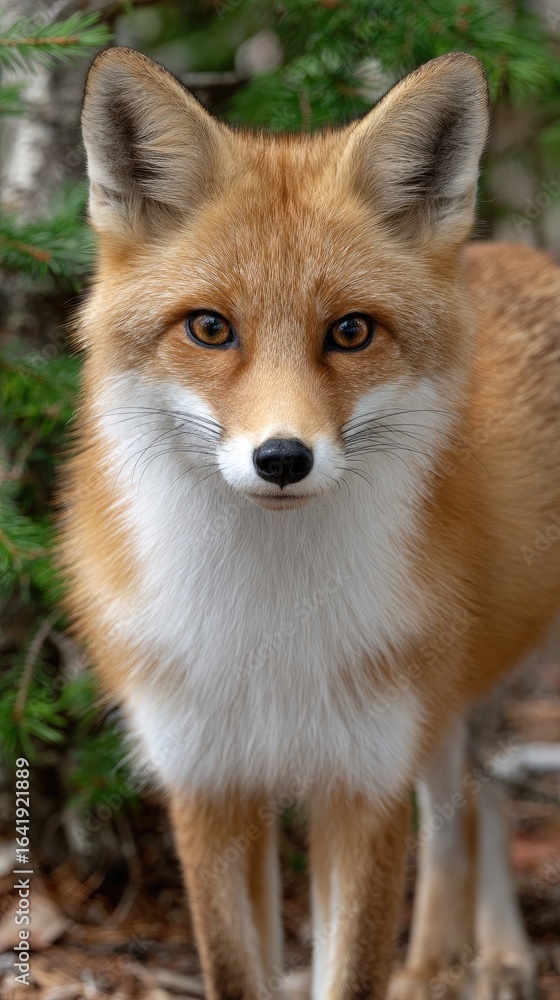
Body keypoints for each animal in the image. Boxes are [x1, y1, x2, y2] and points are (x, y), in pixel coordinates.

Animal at [59, 45, 560, 1000]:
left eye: (352, 332)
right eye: (210, 328)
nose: (283, 458)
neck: (269, 625)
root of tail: (525, 253)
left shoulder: (362, 781)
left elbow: (353, 968)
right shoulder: (210, 780)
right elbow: (234, 969)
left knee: (469, 809)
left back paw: (467, 959)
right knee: (474, 800)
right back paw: (458, 956)